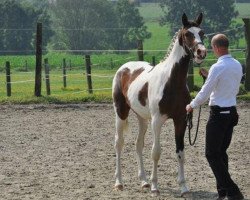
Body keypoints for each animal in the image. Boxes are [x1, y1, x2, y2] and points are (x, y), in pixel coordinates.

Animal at [112, 12, 206, 197]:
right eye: (187, 34)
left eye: (202, 33)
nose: (201, 52)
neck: (172, 81)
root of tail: (123, 68)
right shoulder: (157, 121)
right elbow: (156, 152)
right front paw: (155, 187)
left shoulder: (180, 120)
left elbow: (180, 152)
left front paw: (183, 187)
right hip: (121, 112)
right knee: (119, 143)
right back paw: (119, 183)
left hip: (142, 118)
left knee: (138, 144)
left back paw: (143, 182)